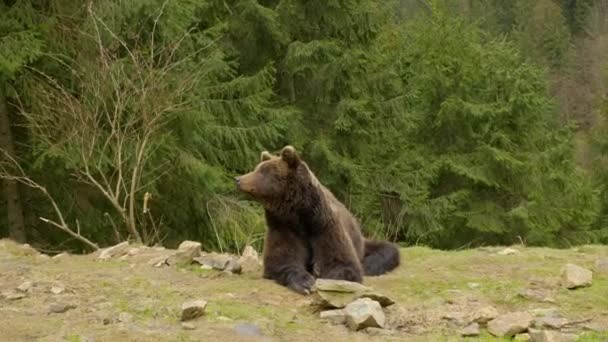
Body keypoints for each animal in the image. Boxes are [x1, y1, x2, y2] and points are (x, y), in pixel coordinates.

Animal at [235, 145, 402, 294]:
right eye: (257, 168)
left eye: (263, 171)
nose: (238, 179)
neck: (299, 215)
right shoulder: (283, 226)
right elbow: (282, 260)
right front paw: (305, 283)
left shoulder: (324, 225)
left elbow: (343, 264)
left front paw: (325, 278)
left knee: (387, 249)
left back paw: (367, 265)